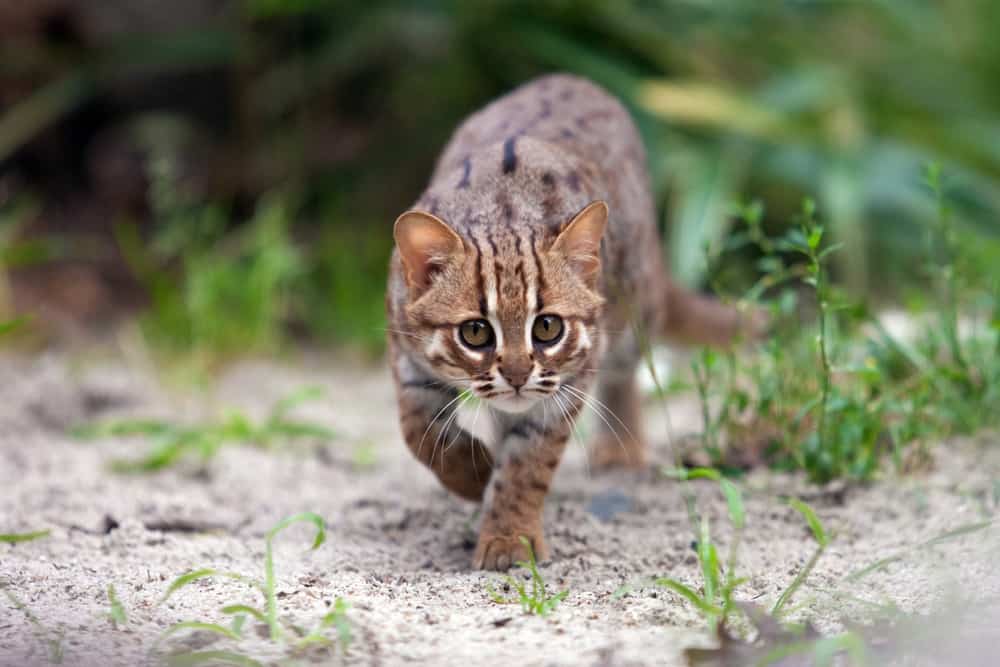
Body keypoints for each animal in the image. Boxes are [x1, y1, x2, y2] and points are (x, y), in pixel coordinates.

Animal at [384, 74, 756, 576]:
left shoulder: (566, 383)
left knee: (625, 371)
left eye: (548, 328)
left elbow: (527, 467)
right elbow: (418, 432)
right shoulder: (407, 355)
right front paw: (474, 475)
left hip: (633, 306)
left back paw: (620, 450)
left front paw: (509, 537)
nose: (517, 376)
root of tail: (571, 78)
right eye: (475, 333)